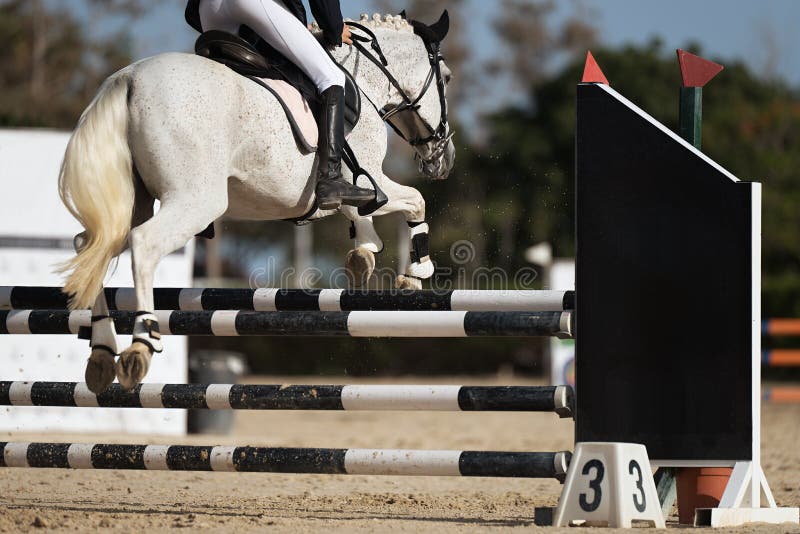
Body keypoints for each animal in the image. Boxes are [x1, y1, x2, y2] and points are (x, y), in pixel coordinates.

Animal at [57, 12, 456, 394]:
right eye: (448, 78)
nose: (444, 159)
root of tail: (129, 79)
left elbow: (357, 209)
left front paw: (364, 253)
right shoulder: (371, 176)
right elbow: (414, 201)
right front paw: (415, 273)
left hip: (134, 204)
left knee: (90, 246)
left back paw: (102, 352)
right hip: (196, 201)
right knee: (144, 244)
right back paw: (140, 346)